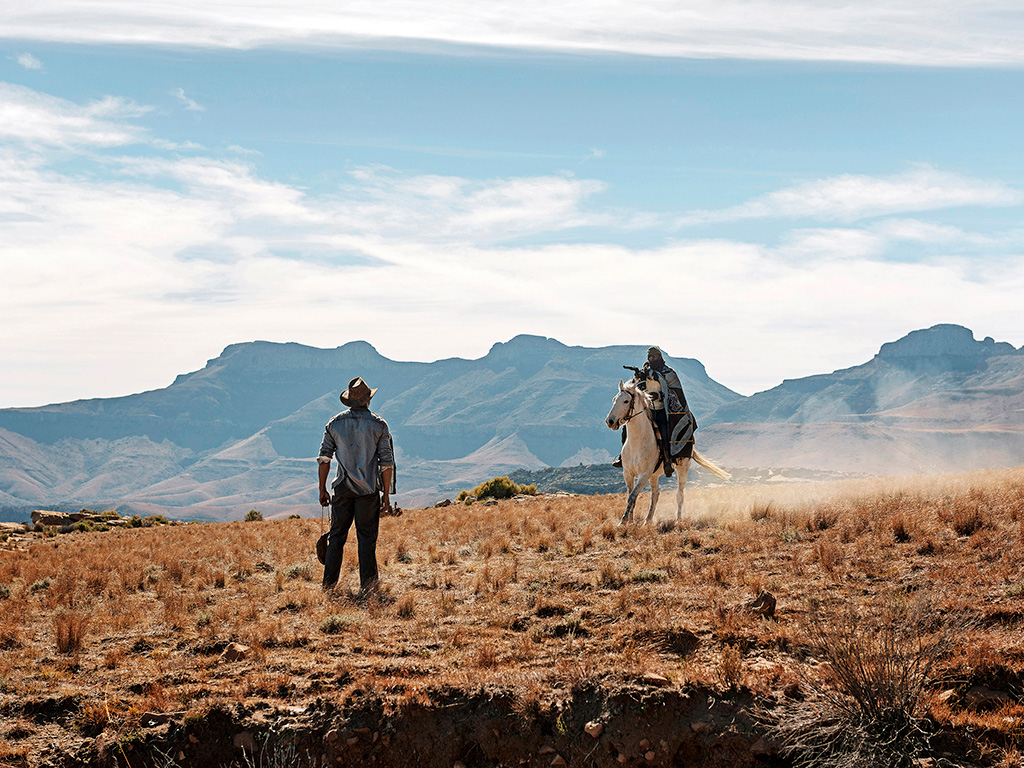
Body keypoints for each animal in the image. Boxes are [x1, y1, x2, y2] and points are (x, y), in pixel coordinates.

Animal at [602, 380, 733, 528]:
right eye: (614, 399)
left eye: (625, 401)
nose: (610, 421)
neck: (637, 442)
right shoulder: (628, 473)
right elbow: (632, 497)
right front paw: (630, 521)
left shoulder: (644, 474)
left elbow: (632, 496)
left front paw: (623, 521)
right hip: (654, 476)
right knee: (655, 494)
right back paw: (647, 520)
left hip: (682, 469)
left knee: (679, 495)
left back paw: (678, 520)